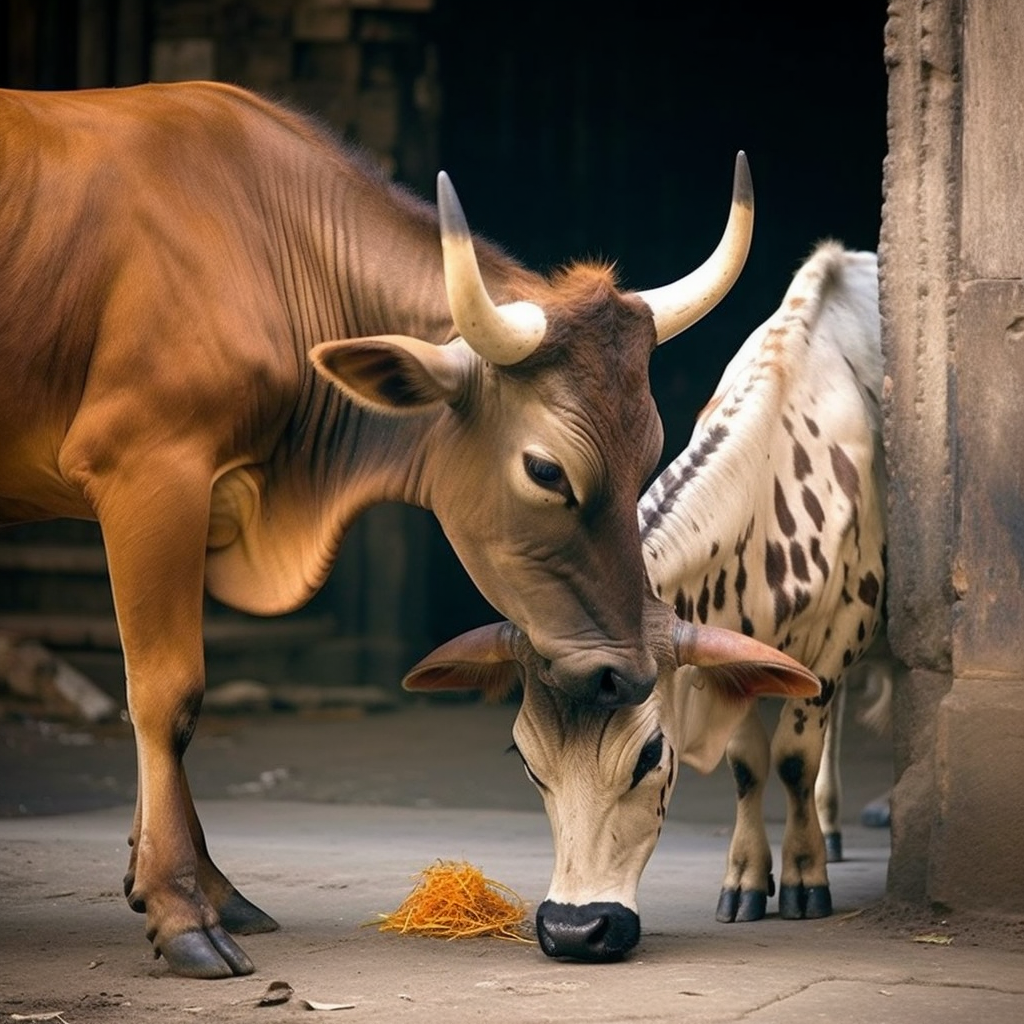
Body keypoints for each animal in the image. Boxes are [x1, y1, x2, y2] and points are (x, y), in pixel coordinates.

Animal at [0, 81, 753, 974]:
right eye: (546, 471)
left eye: (650, 454)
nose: (626, 676)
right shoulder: (147, 469)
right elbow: (166, 693)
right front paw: (183, 909)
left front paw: (201, 888)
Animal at [403, 243, 884, 962]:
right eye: (525, 758)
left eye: (652, 755)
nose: (575, 929)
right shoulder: (735, 658)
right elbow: (749, 764)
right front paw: (746, 878)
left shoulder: (835, 640)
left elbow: (793, 759)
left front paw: (804, 875)